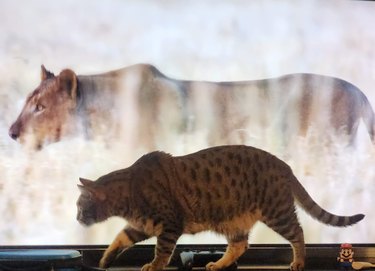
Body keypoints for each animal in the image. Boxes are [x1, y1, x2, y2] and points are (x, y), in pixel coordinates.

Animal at [75, 146, 364, 270]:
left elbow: (161, 251)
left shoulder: (168, 223)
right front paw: (104, 260)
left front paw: (154, 266)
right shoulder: (141, 226)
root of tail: (285, 166)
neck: (130, 189)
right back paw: (218, 264)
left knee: (298, 234)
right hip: (234, 221)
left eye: (79, 205)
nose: (76, 218)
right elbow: (118, 240)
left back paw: (299, 262)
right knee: (240, 245)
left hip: (277, 212)